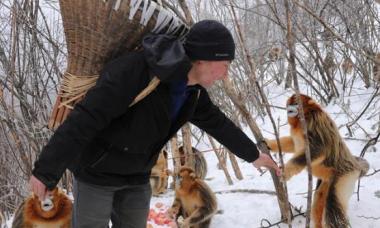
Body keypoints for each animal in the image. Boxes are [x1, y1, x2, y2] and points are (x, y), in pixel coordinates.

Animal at [268, 93, 368, 228]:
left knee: (333, 208)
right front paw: (268, 143)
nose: (289, 108)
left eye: (296, 103)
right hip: (327, 181)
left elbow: (318, 149)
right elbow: (293, 144)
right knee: (318, 199)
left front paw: (285, 172)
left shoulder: (314, 123)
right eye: (289, 103)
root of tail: (355, 164)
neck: (302, 119)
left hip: (345, 176)